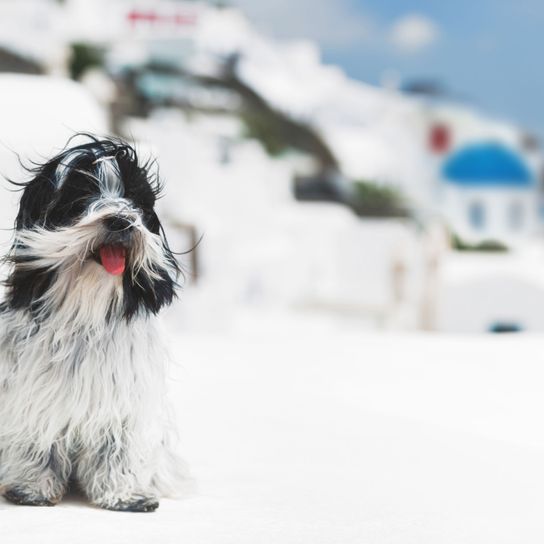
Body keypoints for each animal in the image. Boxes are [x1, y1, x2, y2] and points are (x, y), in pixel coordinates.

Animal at [0, 135, 184, 510]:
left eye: (134, 200)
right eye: (81, 196)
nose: (120, 221)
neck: (85, 311)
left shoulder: (123, 402)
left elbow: (118, 450)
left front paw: (124, 494)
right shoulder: (31, 393)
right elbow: (34, 439)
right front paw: (32, 488)